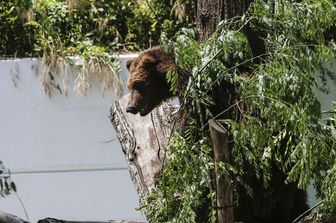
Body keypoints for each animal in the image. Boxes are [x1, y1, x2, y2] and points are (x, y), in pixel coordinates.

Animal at [124, 46, 308, 222]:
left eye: (139, 84)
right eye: (130, 85)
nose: (130, 108)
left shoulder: (204, 99)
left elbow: (189, 132)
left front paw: (165, 170)